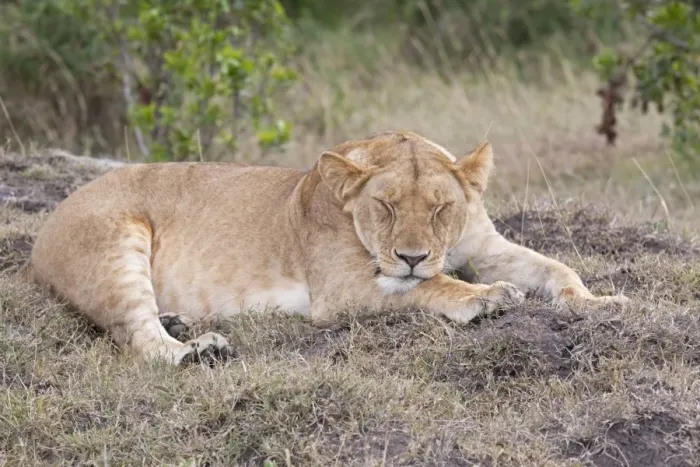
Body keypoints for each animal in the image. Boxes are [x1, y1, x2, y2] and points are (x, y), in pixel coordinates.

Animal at [20, 131, 628, 365]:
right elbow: (428, 287)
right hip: (117, 243)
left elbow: (556, 267)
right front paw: (486, 297)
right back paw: (199, 349)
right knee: (137, 337)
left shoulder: (488, 245)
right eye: (385, 207)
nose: (410, 255)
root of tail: (42, 233)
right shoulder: (338, 291)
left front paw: (599, 303)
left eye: (439, 208)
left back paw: (184, 323)